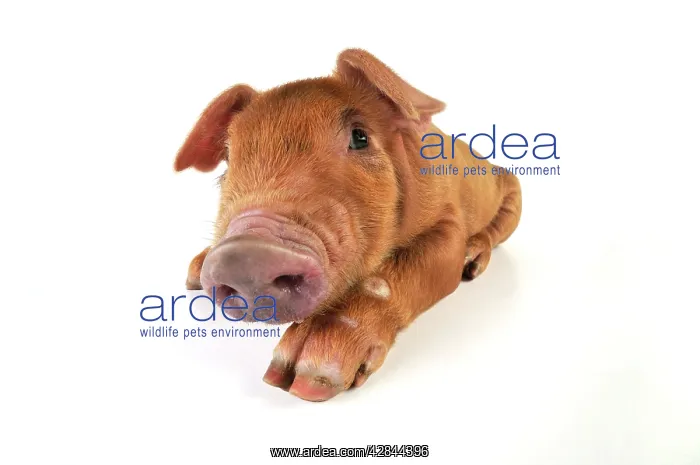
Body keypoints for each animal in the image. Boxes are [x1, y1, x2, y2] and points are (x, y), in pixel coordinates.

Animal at [174, 49, 522, 401]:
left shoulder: (449, 224)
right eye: (229, 156)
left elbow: (398, 275)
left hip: (513, 195)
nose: (246, 251)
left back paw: (473, 262)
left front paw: (303, 380)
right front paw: (193, 276)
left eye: (360, 137)